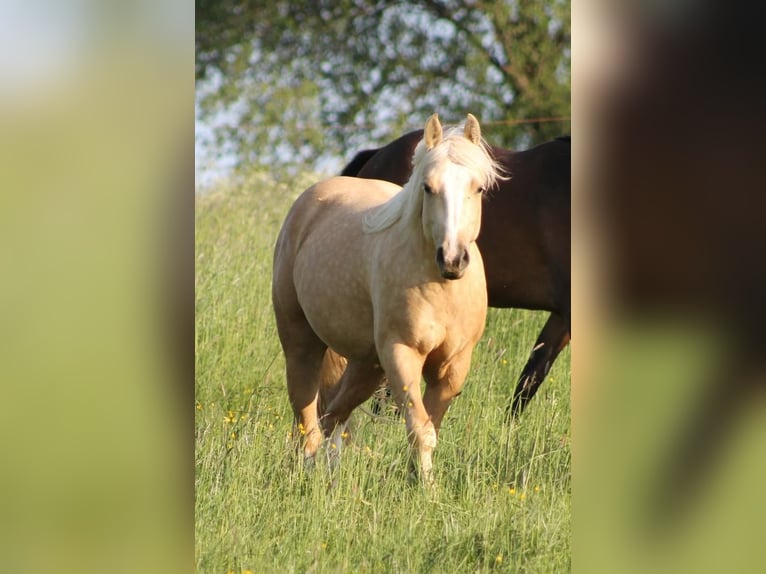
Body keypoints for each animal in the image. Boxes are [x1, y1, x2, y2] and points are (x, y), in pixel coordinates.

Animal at [274, 113, 504, 482]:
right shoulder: (401, 353)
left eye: (478, 188)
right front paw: (425, 487)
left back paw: (331, 475)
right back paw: (308, 473)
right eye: (428, 187)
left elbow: (430, 427)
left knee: (335, 415)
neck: (441, 288)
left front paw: (418, 481)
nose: (453, 259)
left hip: (366, 364)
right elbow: (421, 428)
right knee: (308, 421)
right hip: (301, 344)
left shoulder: (453, 367)